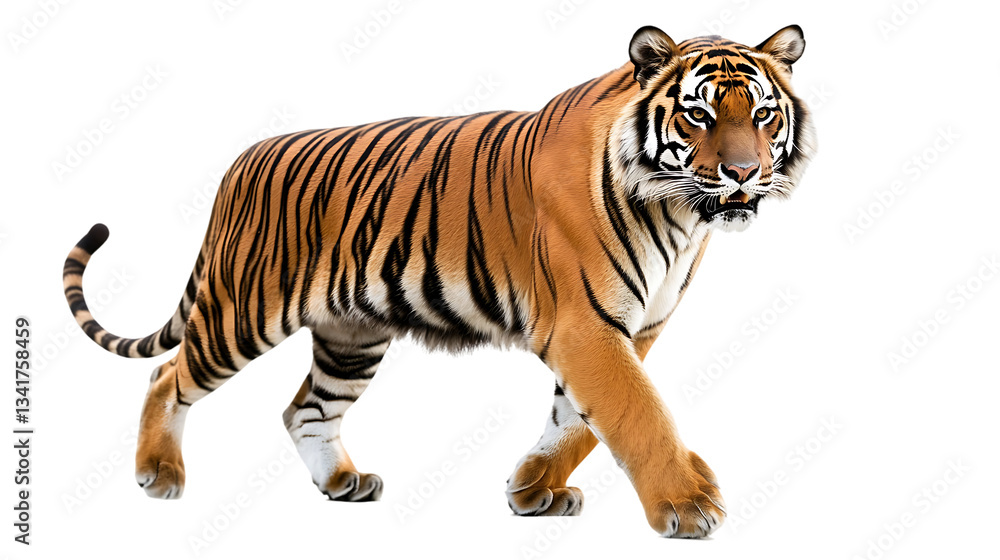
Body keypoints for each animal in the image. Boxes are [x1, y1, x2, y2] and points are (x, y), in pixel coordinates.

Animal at [62, 24, 815, 538]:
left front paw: (533, 488)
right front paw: (689, 506)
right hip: (242, 312)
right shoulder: (588, 326)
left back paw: (343, 482)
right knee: (167, 376)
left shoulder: (635, 327)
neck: (679, 213)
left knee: (306, 409)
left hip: (351, 334)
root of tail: (241, 162)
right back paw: (159, 474)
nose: (744, 173)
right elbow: (638, 413)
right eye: (699, 113)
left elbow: (577, 419)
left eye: (763, 114)